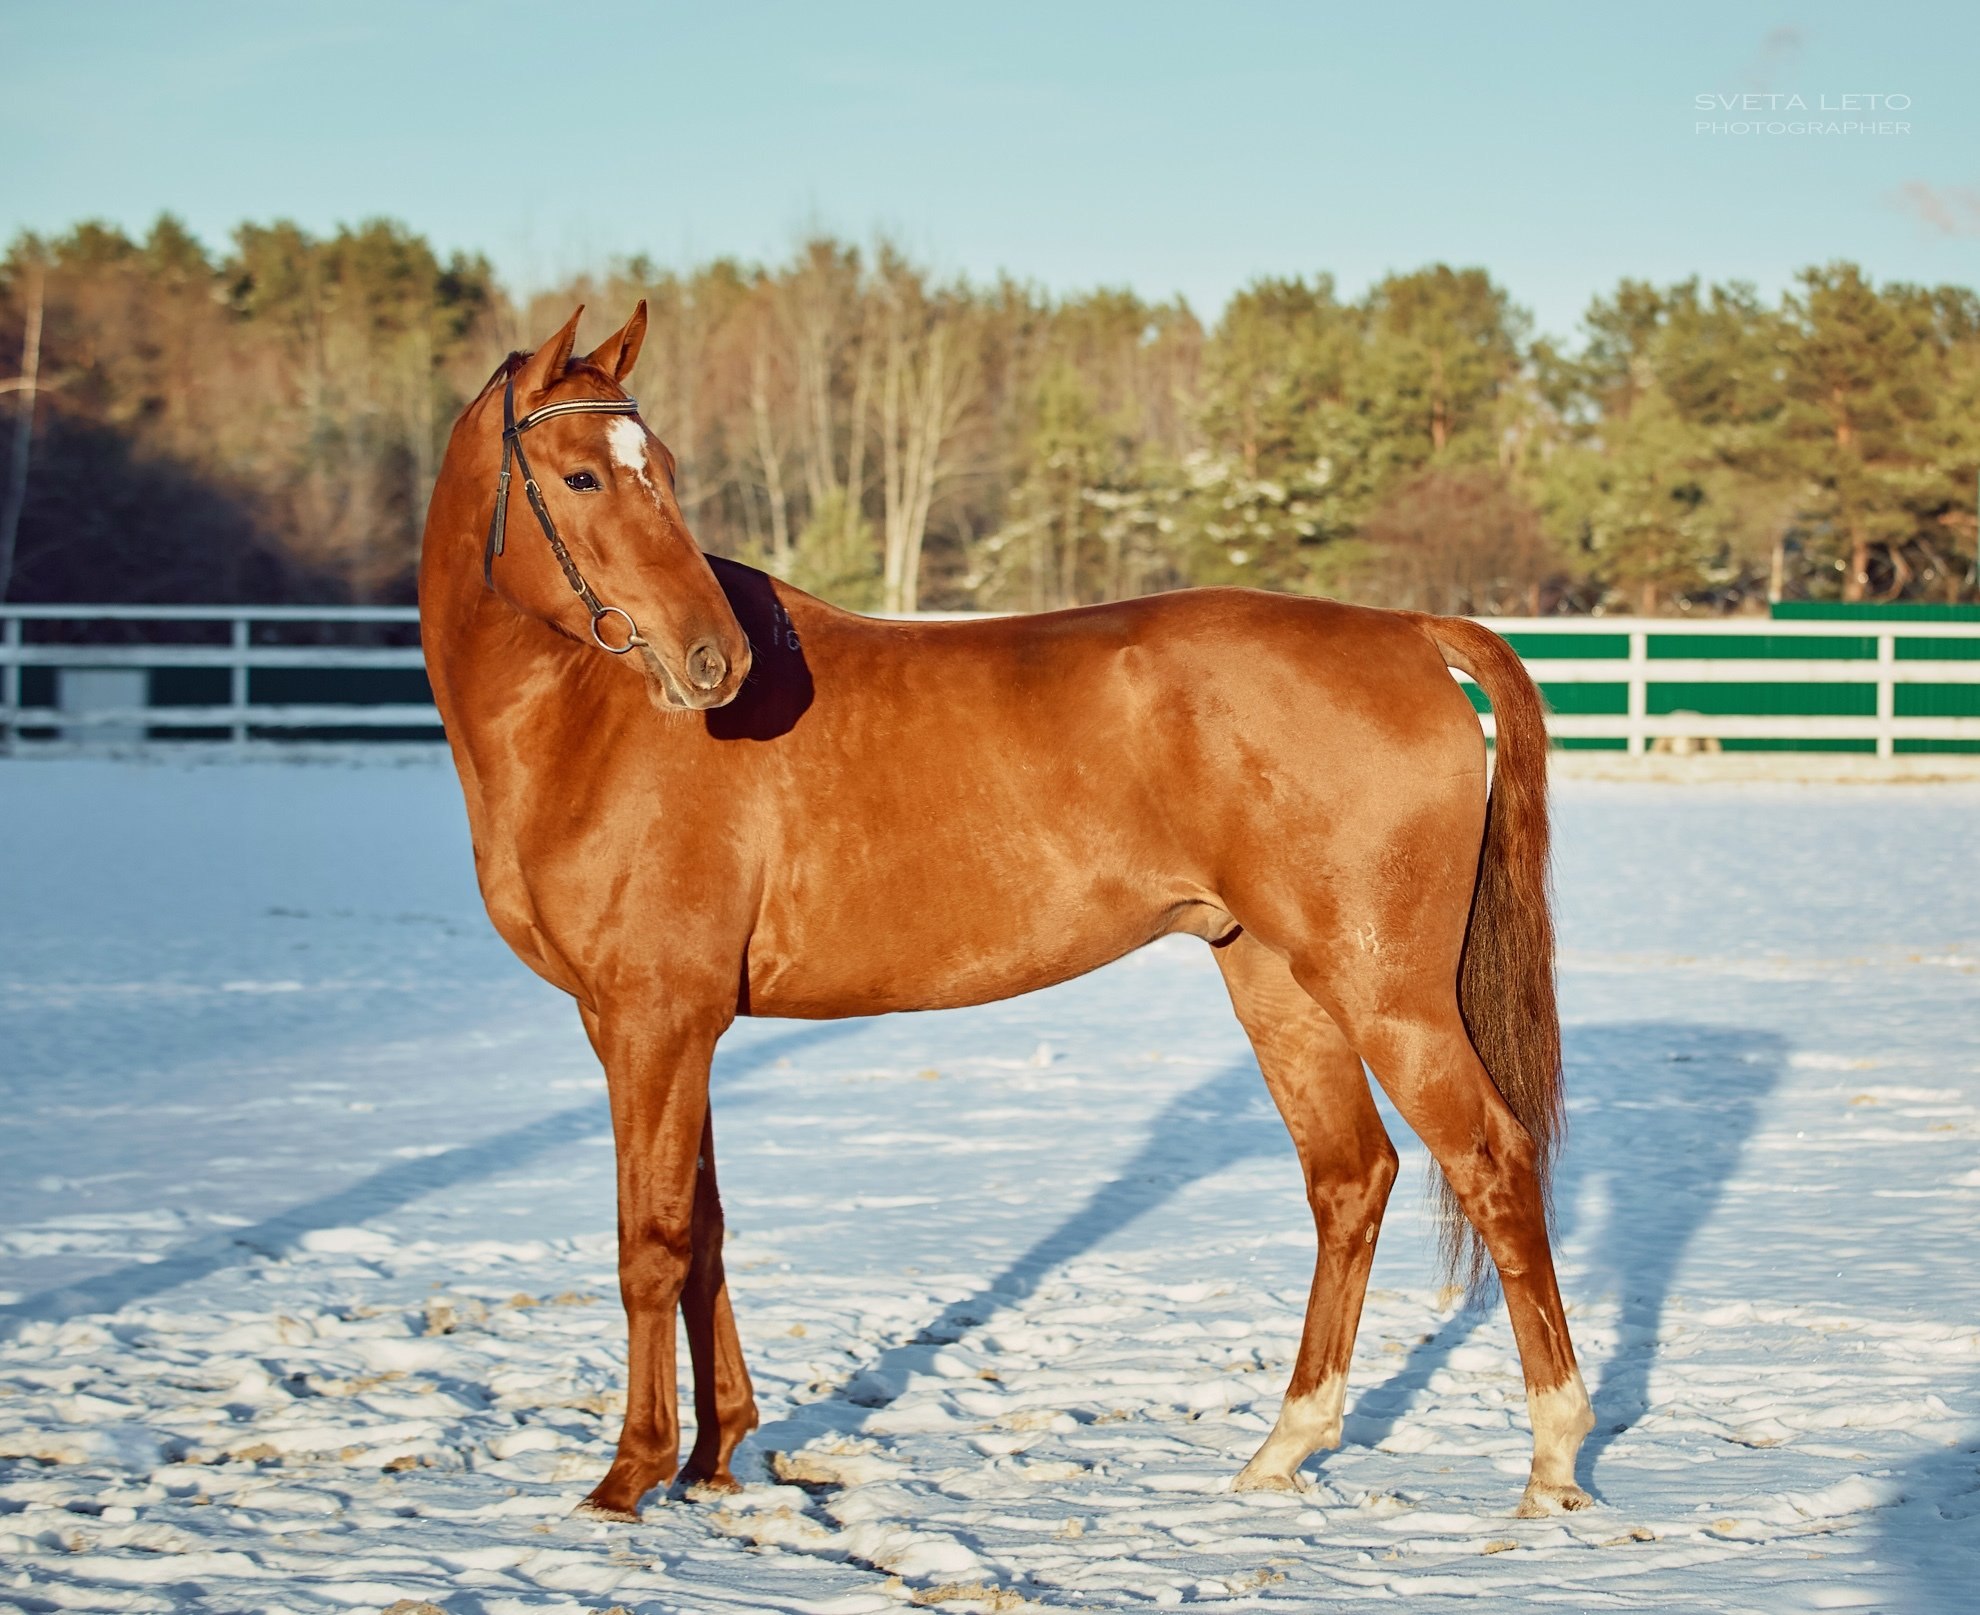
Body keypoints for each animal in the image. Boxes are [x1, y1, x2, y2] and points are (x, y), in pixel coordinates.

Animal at [417, 306, 1591, 1527]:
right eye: (584, 473)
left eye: (664, 472)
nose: (713, 661)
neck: (588, 726)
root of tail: (1409, 630)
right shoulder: (661, 1027)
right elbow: (705, 1235)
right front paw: (715, 1455)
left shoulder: (655, 1021)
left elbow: (651, 1241)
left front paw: (630, 1473)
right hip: (1279, 984)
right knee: (1350, 1178)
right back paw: (1282, 1449)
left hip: (1387, 993)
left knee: (1494, 1166)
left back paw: (1553, 1460)